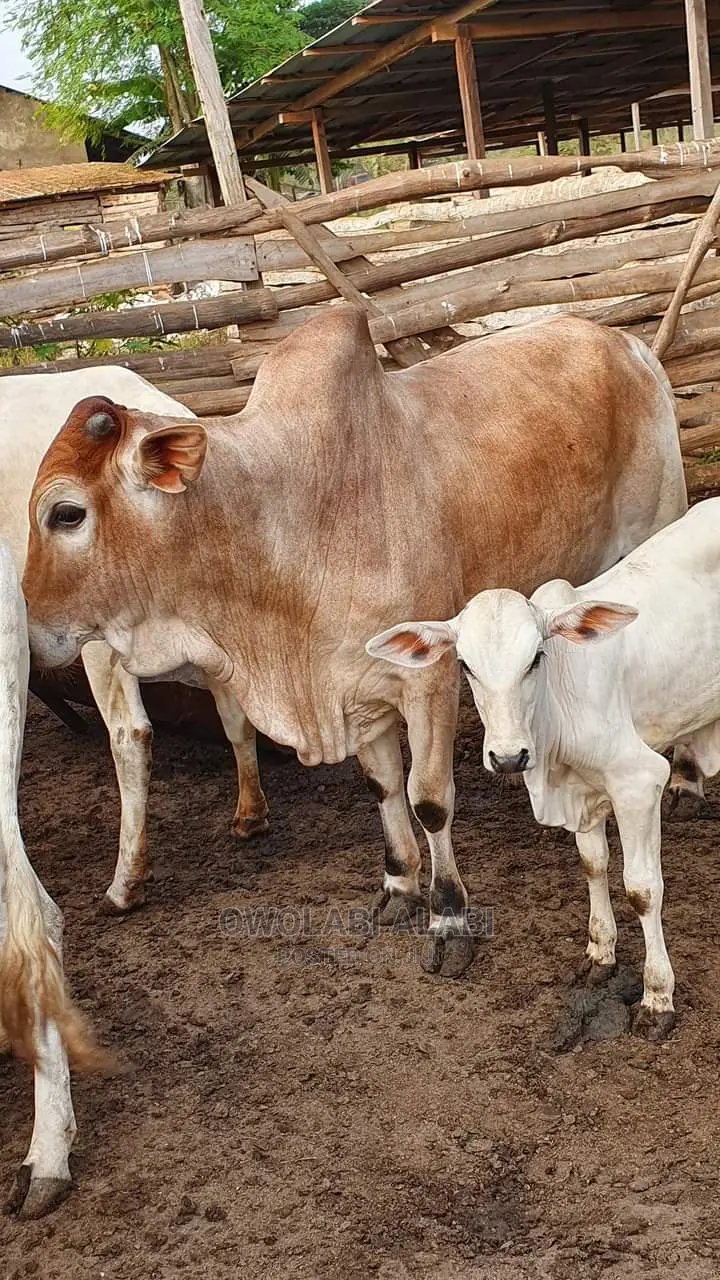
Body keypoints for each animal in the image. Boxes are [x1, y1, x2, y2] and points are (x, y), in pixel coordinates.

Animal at [366, 499, 720, 1035]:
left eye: (536, 657)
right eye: (465, 665)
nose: (509, 755)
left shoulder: (638, 782)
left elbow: (643, 889)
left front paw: (657, 998)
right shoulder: (582, 791)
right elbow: (594, 864)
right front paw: (600, 954)